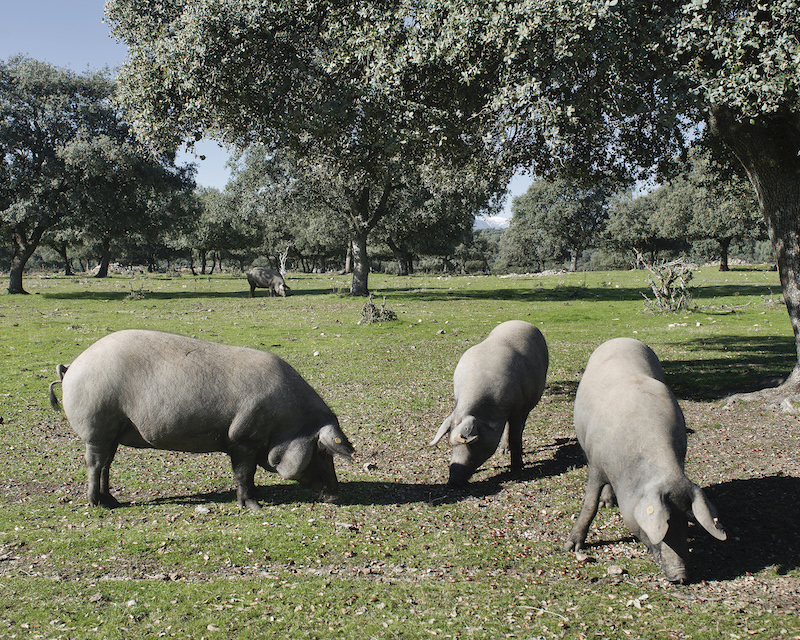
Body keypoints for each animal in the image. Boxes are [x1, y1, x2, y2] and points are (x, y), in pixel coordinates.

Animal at [47, 330, 354, 510]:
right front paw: (253, 506)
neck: (288, 425)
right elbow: (244, 473)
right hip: (96, 427)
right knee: (94, 464)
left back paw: (111, 500)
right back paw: (98, 505)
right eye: (324, 453)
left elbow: (248, 475)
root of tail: (71, 366)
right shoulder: (242, 438)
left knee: (106, 465)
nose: (337, 496)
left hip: (110, 433)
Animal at [432, 318, 552, 488]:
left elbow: (515, 436)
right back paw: (503, 452)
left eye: (473, 443)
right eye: (451, 444)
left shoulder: (518, 409)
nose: (452, 482)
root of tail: (521, 321)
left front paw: (517, 468)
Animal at [564, 340, 728, 584]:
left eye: (685, 520)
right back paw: (606, 505)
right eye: (664, 525)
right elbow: (589, 505)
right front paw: (571, 547)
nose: (681, 576)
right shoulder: (596, 464)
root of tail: (622, 338)